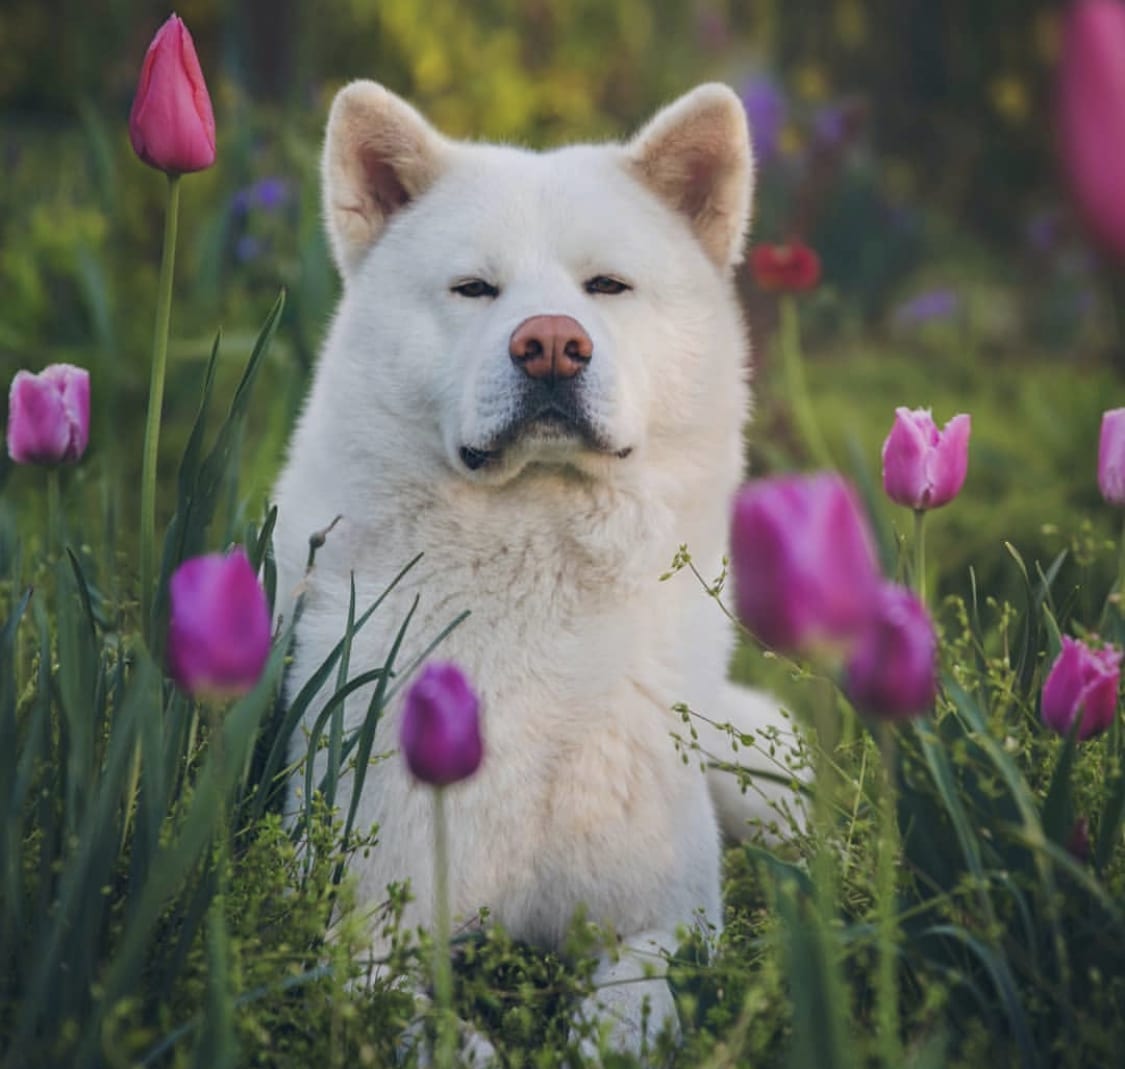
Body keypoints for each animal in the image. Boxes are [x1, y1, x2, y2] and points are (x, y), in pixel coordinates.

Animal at [272, 81, 801, 1062]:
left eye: (606, 287)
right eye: (474, 289)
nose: (551, 342)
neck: (541, 586)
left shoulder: (664, 922)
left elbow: (626, 1014)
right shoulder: (359, 932)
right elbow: (438, 1033)